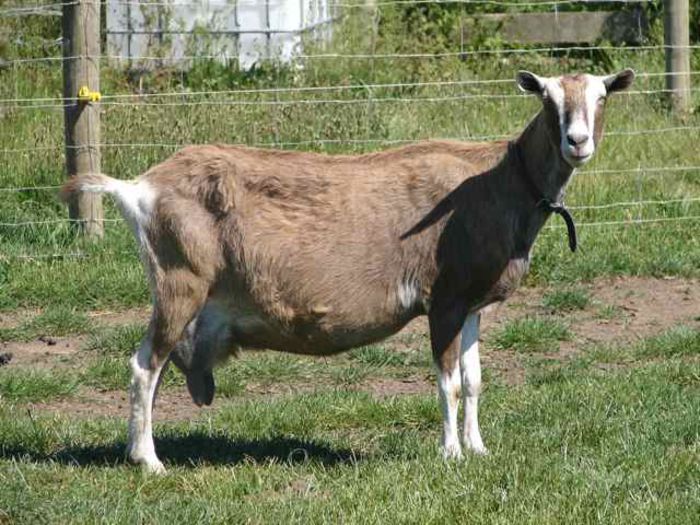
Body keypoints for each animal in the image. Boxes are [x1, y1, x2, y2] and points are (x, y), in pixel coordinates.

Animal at [61, 69, 635, 473]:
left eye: (602, 97)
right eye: (548, 100)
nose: (577, 142)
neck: (498, 181)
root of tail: (138, 187)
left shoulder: (473, 303)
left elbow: (473, 381)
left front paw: (479, 449)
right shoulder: (444, 298)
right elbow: (448, 383)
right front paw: (450, 453)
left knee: (154, 370)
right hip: (180, 283)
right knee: (143, 367)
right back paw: (149, 461)